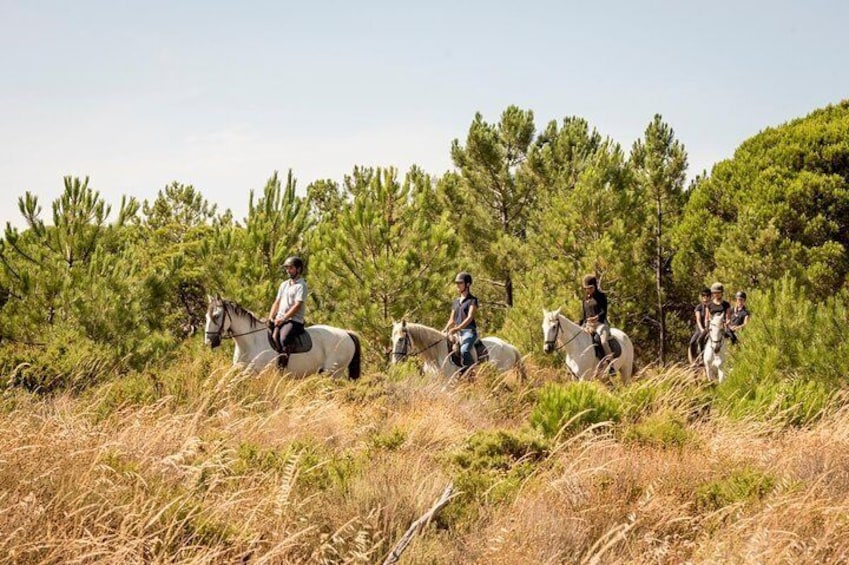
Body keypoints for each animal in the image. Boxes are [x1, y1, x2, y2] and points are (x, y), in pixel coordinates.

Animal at [204, 296, 360, 378]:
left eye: (216, 316)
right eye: (206, 316)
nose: (209, 341)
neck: (251, 342)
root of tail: (347, 333)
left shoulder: (257, 373)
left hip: (333, 373)